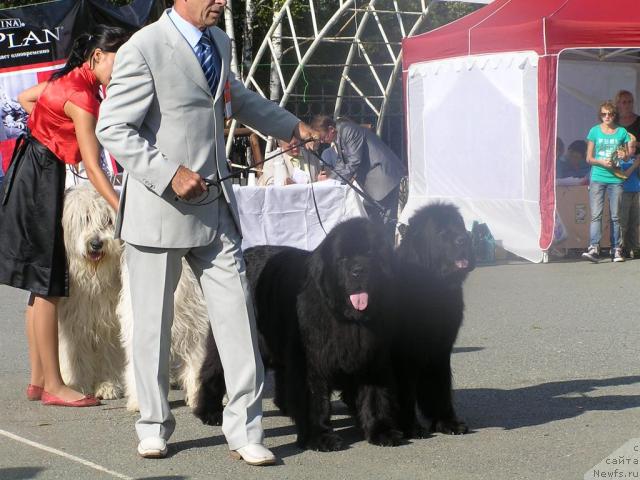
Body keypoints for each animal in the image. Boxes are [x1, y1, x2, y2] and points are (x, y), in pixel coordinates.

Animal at [195, 218, 402, 450]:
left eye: (370, 254)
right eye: (342, 259)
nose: (358, 270)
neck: (346, 318)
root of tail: (246, 254)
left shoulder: (372, 357)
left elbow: (375, 397)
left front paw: (381, 431)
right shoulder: (311, 361)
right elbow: (314, 400)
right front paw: (319, 437)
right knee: (214, 370)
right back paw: (210, 412)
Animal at [392, 202, 478, 438]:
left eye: (460, 225)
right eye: (441, 233)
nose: (464, 239)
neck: (434, 288)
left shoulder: (439, 349)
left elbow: (439, 386)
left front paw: (447, 422)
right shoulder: (404, 355)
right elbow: (404, 392)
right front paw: (410, 427)